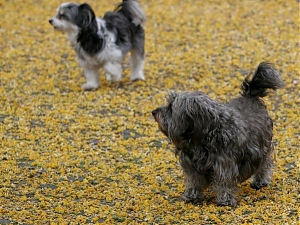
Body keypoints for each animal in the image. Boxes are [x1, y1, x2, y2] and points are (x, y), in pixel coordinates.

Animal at [152, 62, 284, 207]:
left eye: (171, 107)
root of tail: (249, 95)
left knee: (265, 163)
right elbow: (194, 181)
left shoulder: (225, 163)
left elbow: (224, 181)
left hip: (263, 147)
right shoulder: (190, 164)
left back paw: (260, 180)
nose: (154, 112)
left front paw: (225, 200)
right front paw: (192, 195)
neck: (201, 138)